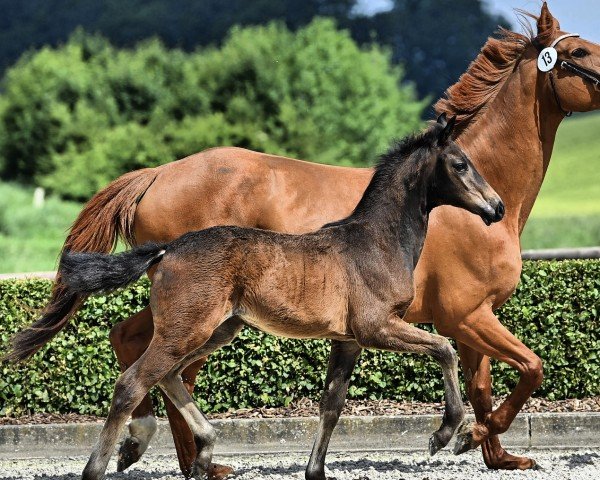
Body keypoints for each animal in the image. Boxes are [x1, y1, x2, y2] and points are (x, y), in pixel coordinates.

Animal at [12, 114, 502, 478]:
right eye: (460, 164)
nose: (496, 207)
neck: (376, 241)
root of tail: (166, 250)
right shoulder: (376, 326)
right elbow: (444, 347)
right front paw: (444, 434)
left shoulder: (347, 340)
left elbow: (332, 404)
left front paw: (315, 471)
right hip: (188, 328)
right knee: (133, 381)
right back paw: (104, 465)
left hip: (215, 329)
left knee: (167, 375)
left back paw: (206, 451)